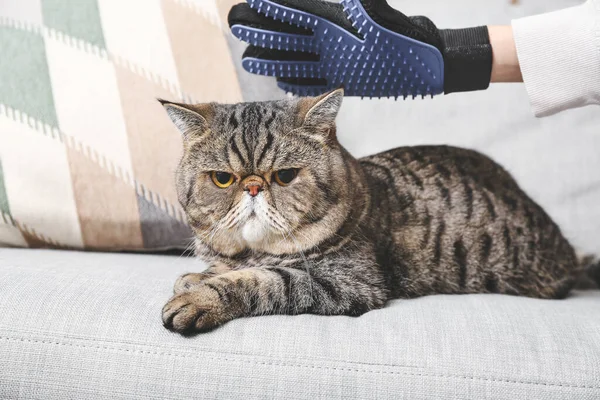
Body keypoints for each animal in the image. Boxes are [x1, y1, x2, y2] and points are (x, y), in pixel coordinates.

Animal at [161, 90, 596, 334]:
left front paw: (201, 296)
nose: (252, 187)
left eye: (284, 176)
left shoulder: (350, 282)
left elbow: (264, 280)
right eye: (222, 179)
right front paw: (197, 276)